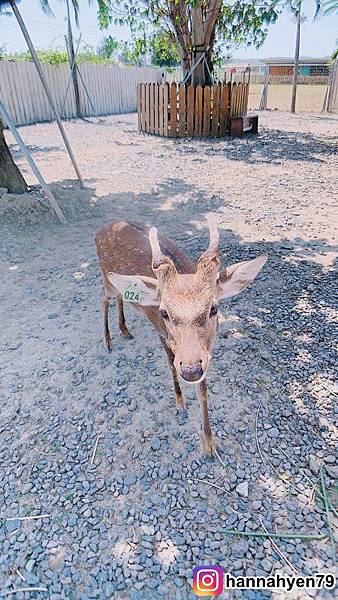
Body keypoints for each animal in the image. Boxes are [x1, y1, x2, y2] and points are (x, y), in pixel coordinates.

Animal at [95, 216, 266, 454]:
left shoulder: (205, 353)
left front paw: (209, 446)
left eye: (214, 308)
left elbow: (203, 390)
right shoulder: (162, 332)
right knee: (104, 298)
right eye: (163, 312)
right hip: (106, 277)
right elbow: (171, 366)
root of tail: (100, 229)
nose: (191, 369)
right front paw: (180, 406)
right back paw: (108, 341)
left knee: (121, 297)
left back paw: (125, 330)